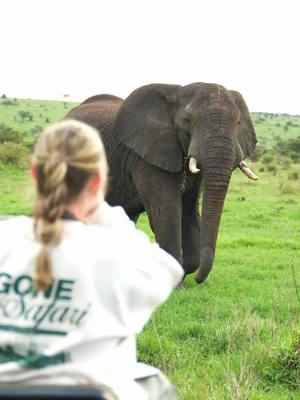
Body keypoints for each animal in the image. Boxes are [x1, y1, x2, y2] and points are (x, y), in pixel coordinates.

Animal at [66, 83, 258, 284]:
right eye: (187, 121)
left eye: (238, 123)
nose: (199, 279)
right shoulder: (146, 155)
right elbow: (167, 209)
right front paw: (175, 283)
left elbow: (188, 208)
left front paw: (185, 272)